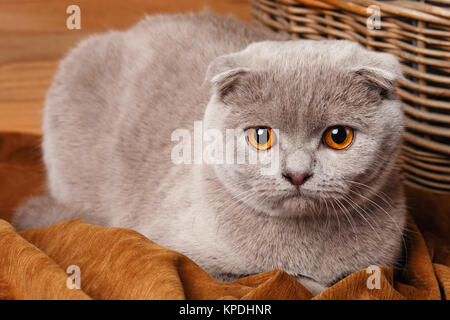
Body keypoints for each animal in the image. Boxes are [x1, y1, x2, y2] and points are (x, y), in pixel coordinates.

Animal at [14, 12, 408, 294]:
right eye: (261, 136)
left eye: (338, 137)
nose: (296, 173)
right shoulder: (175, 250)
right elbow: (279, 279)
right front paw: (306, 280)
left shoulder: (381, 265)